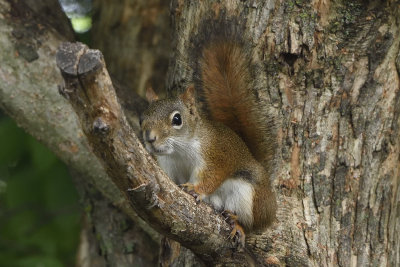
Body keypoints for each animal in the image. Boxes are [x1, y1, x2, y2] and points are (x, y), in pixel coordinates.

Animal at [140, 34, 276, 248]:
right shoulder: (168, 166)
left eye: (177, 119)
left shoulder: (215, 155)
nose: (150, 138)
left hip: (248, 195)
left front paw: (195, 188)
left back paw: (238, 225)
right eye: (142, 119)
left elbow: (213, 177)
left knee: (251, 225)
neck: (179, 151)